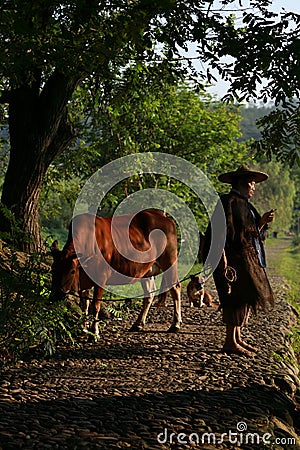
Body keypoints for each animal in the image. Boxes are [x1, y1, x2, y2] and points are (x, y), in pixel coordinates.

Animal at [50, 210, 182, 334]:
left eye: (72, 271)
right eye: (53, 269)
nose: (56, 294)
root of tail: (162, 215)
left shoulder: (100, 277)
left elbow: (95, 306)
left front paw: (94, 332)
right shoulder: (84, 281)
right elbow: (84, 306)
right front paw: (84, 329)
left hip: (169, 261)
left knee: (175, 288)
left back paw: (175, 324)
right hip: (146, 271)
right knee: (149, 294)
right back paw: (138, 324)